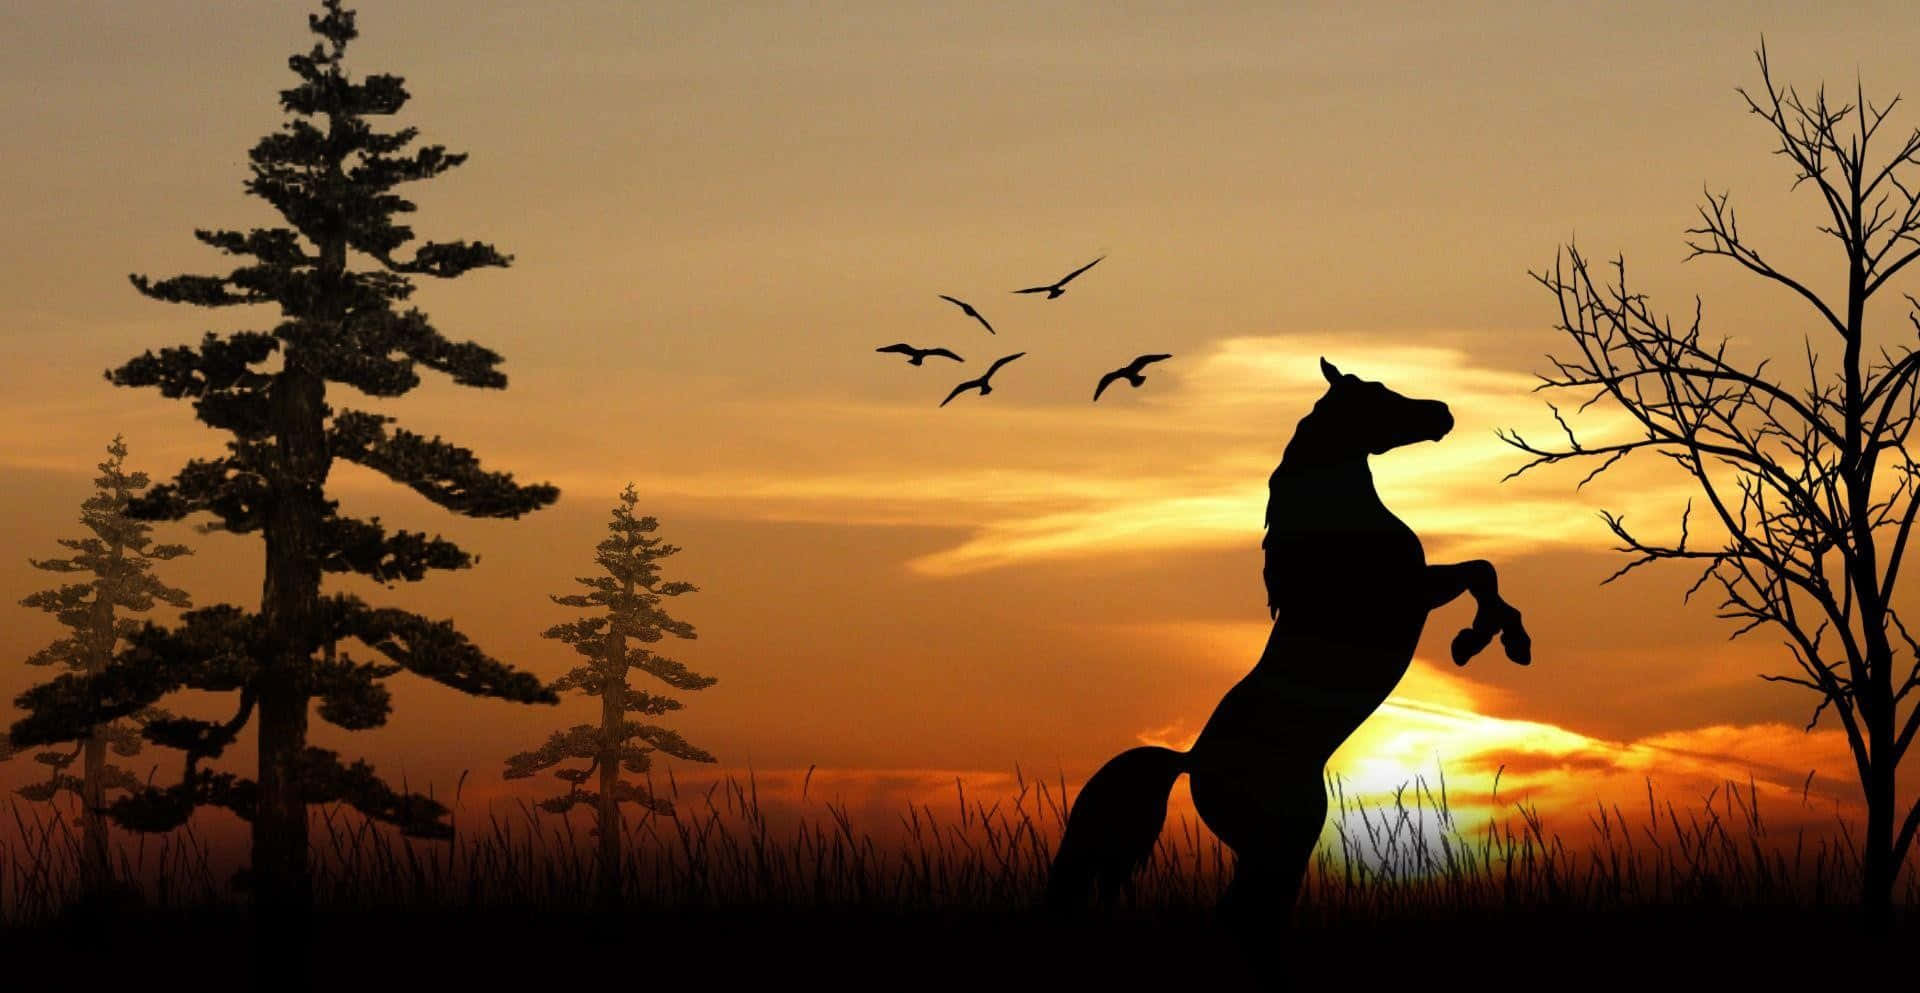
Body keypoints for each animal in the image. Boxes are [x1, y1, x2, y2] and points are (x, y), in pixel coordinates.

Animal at [1046, 357, 1531, 922]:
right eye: (1379, 395)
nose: (1443, 413)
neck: (1335, 532)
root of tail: (1190, 759)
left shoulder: (1419, 591)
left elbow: (1483, 570)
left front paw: (1492, 641)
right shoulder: (1412, 594)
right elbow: (1482, 572)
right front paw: (1488, 641)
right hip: (1281, 842)